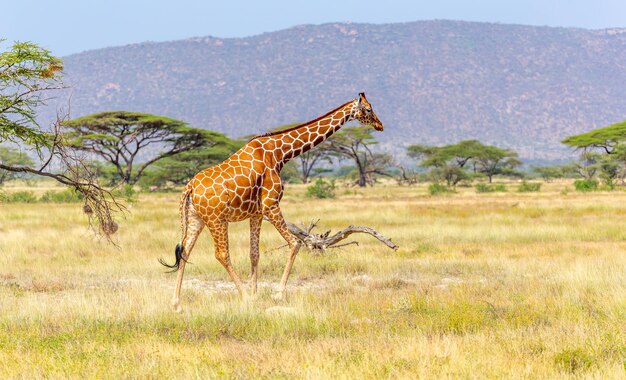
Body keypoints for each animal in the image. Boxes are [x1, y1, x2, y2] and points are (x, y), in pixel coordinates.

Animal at [160, 93, 386, 312]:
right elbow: (295, 243)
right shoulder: (271, 205)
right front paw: (276, 294)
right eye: (368, 109)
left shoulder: (257, 213)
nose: (380, 125)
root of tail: (189, 188)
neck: (279, 153)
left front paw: (256, 294)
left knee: (185, 251)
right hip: (217, 219)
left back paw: (176, 303)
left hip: (196, 218)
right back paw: (242, 296)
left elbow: (254, 253)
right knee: (222, 254)